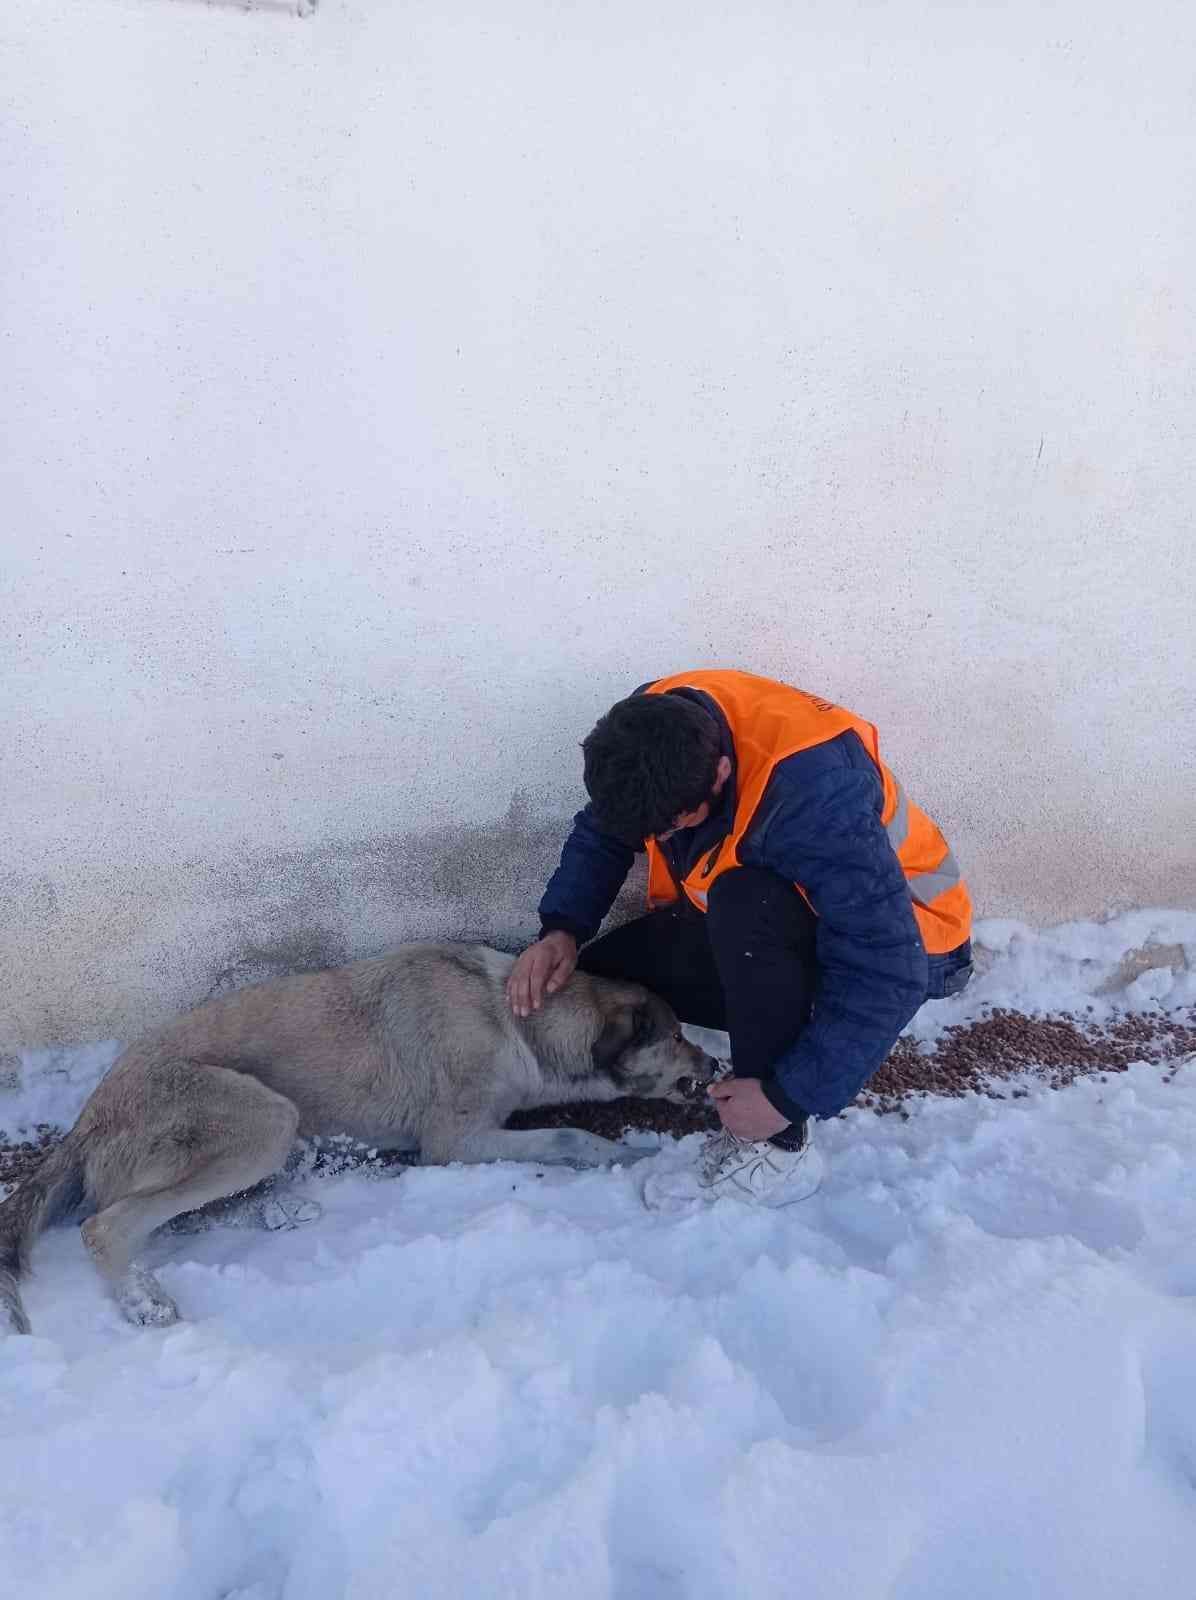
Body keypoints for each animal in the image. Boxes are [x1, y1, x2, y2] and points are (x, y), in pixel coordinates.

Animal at [0, 940, 716, 1331]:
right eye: (677, 1034)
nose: (715, 1066)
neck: (519, 1023)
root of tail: (85, 1121)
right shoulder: (453, 1142)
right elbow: (572, 1139)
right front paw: (631, 1154)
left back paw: (286, 1207)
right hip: (264, 1118)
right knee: (107, 1226)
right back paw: (146, 1303)